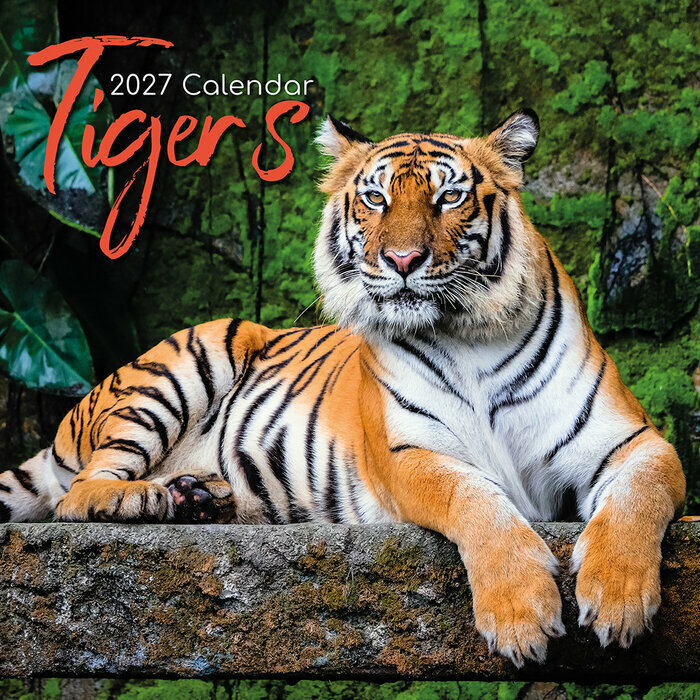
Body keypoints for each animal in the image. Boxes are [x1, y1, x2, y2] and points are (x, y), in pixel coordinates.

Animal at [0, 110, 685, 667]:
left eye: (450, 197)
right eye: (376, 199)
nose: (403, 261)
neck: (469, 334)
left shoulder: (635, 441)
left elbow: (637, 498)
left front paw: (620, 600)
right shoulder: (410, 456)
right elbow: (477, 501)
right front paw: (521, 616)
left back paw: (198, 497)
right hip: (188, 361)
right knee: (77, 496)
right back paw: (142, 499)